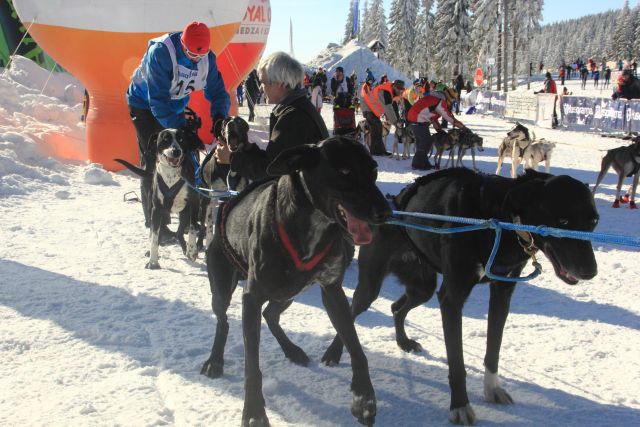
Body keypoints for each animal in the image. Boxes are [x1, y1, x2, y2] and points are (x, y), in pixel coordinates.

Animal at [115, 128, 202, 268]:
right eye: (165, 140)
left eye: (181, 139)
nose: (176, 151)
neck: (172, 176)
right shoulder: (156, 210)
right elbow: (154, 237)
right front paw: (153, 261)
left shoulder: (194, 205)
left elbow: (193, 229)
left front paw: (192, 250)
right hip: (156, 212)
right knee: (159, 231)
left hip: (184, 214)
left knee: (179, 232)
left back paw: (186, 249)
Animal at [202, 137, 390, 427]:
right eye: (344, 170)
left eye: (374, 171)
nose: (385, 212)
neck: (310, 222)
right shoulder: (251, 298)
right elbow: (251, 366)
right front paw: (254, 412)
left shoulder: (332, 292)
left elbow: (357, 349)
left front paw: (364, 398)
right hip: (224, 289)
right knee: (223, 321)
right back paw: (215, 360)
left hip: (287, 293)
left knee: (270, 315)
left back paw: (291, 350)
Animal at [324, 169, 600, 426]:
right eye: (562, 220)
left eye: (594, 222)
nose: (591, 271)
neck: (495, 220)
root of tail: (393, 205)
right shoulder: (452, 298)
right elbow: (457, 363)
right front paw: (460, 406)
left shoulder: (502, 293)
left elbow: (493, 350)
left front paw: (491, 389)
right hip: (372, 285)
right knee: (350, 313)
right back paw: (334, 353)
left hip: (422, 287)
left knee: (396, 307)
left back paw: (404, 342)